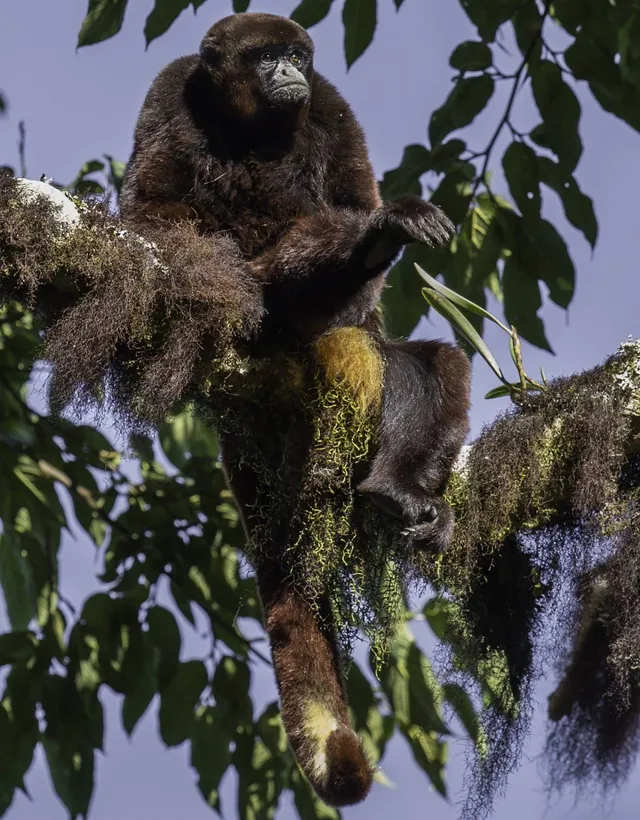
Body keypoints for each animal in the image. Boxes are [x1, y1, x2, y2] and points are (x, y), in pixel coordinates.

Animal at [120, 12, 470, 806]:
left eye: (297, 57)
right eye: (264, 57)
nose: (289, 74)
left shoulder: (331, 106)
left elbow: (351, 203)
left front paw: (377, 235)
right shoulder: (170, 89)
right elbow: (151, 209)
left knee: (424, 360)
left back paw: (397, 489)